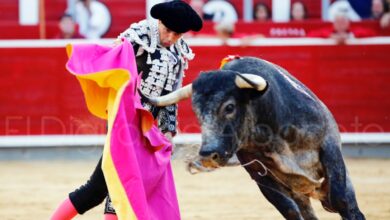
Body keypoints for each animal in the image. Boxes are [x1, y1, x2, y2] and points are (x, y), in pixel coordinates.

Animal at [145, 57, 364, 220]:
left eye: (230, 107)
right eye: (196, 111)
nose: (208, 155)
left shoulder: (329, 146)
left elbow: (340, 200)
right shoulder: (258, 172)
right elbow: (289, 210)